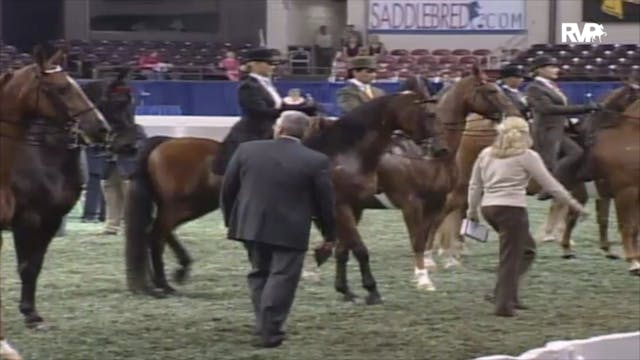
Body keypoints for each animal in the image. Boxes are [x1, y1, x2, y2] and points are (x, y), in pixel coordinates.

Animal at [5, 74, 139, 330]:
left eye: (133, 104)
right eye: (117, 103)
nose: (131, 145)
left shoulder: (51, 220)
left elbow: (34, 265)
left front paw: (31, 313)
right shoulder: (27, 219)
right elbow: (26, 265)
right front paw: (29, 313)